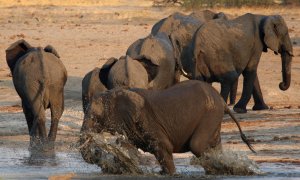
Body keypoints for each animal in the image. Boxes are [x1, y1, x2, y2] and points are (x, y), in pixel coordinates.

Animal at [80, 80, 255, 176]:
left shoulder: (147, 120)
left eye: (94, 118)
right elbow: (128, 149)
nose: (97, 151)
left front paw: (169, 174)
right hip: (213, 117)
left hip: (210, 114)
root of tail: (222, 101)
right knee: (214, 145)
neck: (115, 93)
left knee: (197, 145)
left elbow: (163, 146)